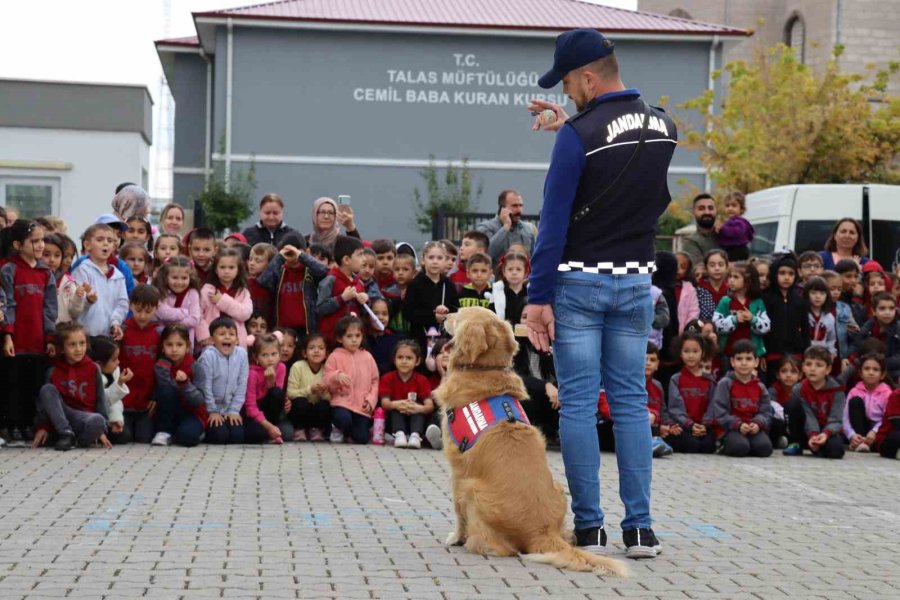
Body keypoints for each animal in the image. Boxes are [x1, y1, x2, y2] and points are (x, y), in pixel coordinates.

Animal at [432, 308, 628, 576]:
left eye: (459, 315)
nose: (443, 315)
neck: (484, 369)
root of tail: (541, 531)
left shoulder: (458, 469)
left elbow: (457, 510)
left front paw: (455, 538)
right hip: (559, 486)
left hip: (473, 489)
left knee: (502, 547)